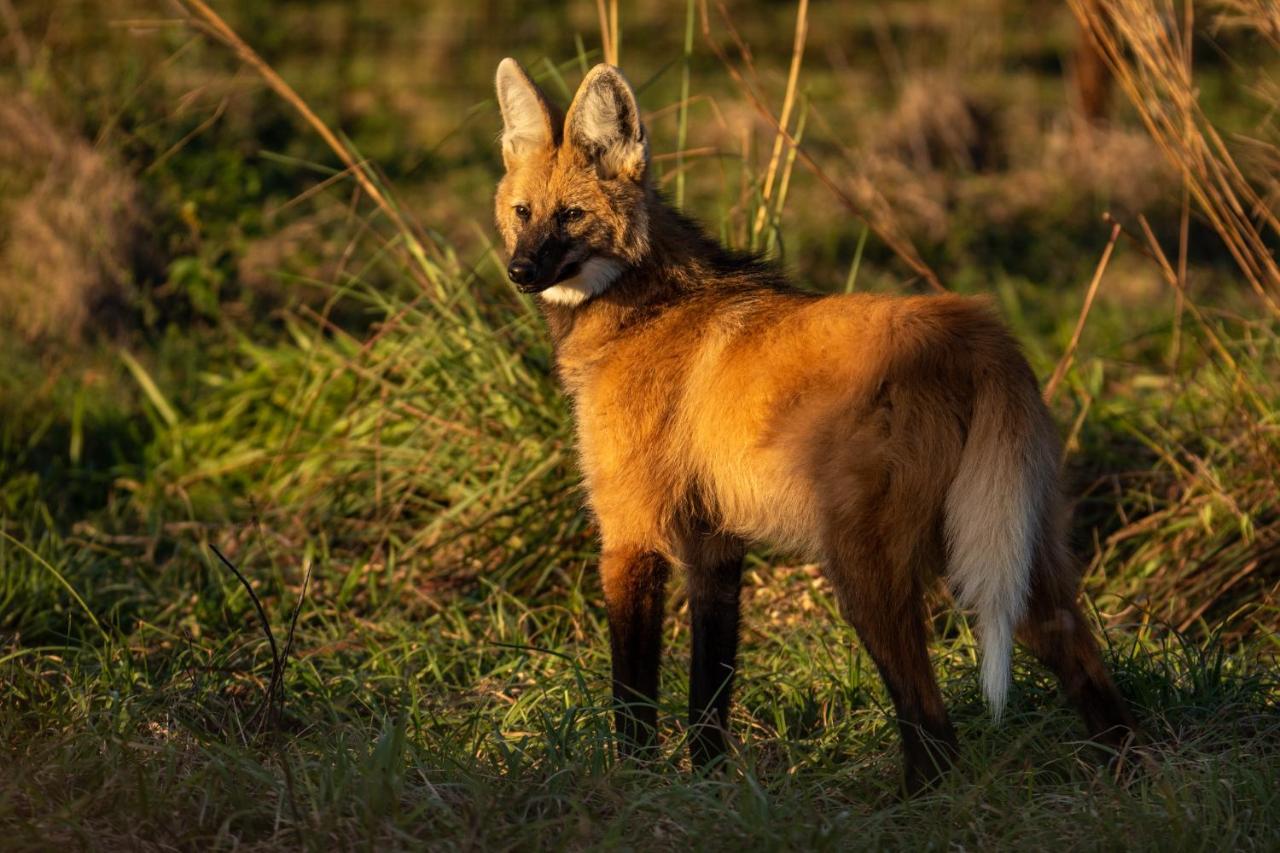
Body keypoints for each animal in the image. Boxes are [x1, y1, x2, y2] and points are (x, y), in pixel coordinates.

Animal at [494, 58, 1136, 788]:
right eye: (522, 212)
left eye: (571, 215)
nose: (520, 270)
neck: (644, 309)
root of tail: (976, 332)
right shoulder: (715, 546)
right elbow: (708, 697)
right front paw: (712, 787)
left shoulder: (632, 535)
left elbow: (634, 702)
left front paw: (633, 785)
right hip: (1007, 545)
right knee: (1085, 669)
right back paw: (1126, 778)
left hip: (864, 569)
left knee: (934, 726)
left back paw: (911, 798)